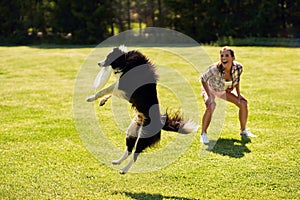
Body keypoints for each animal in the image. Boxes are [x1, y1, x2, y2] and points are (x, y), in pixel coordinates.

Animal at [86, 45, 199, 173]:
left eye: (108, 57)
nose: (98, 63)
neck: (125, 60)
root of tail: (160, 122)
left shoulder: (123, 86)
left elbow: (106, 89)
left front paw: (91, 98)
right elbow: (109, 92)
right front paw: (102, 100)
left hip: (143, 137)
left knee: (135, 154)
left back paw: (124, 170)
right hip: (131, 131)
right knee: (129, 150)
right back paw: (117, 162)